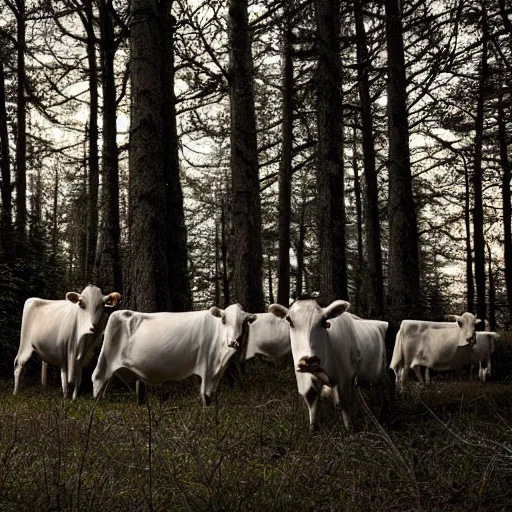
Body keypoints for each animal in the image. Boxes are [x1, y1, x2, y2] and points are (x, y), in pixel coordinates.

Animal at [91, 302, 256, 406]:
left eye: (244, 322)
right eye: (224, 319)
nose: (234, 341)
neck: (220, 359)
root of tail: (121, 312)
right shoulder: (206, 366)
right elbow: (205, 395)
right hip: (105, 358)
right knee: (97, 380)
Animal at [268, 298, 360, 430]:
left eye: (324, 321)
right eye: (289, 320)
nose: (309, 359)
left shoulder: (345, 378)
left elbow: (346, 407)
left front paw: (349, 430)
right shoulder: (306, 381)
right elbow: (312, 401)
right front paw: (312, 428)